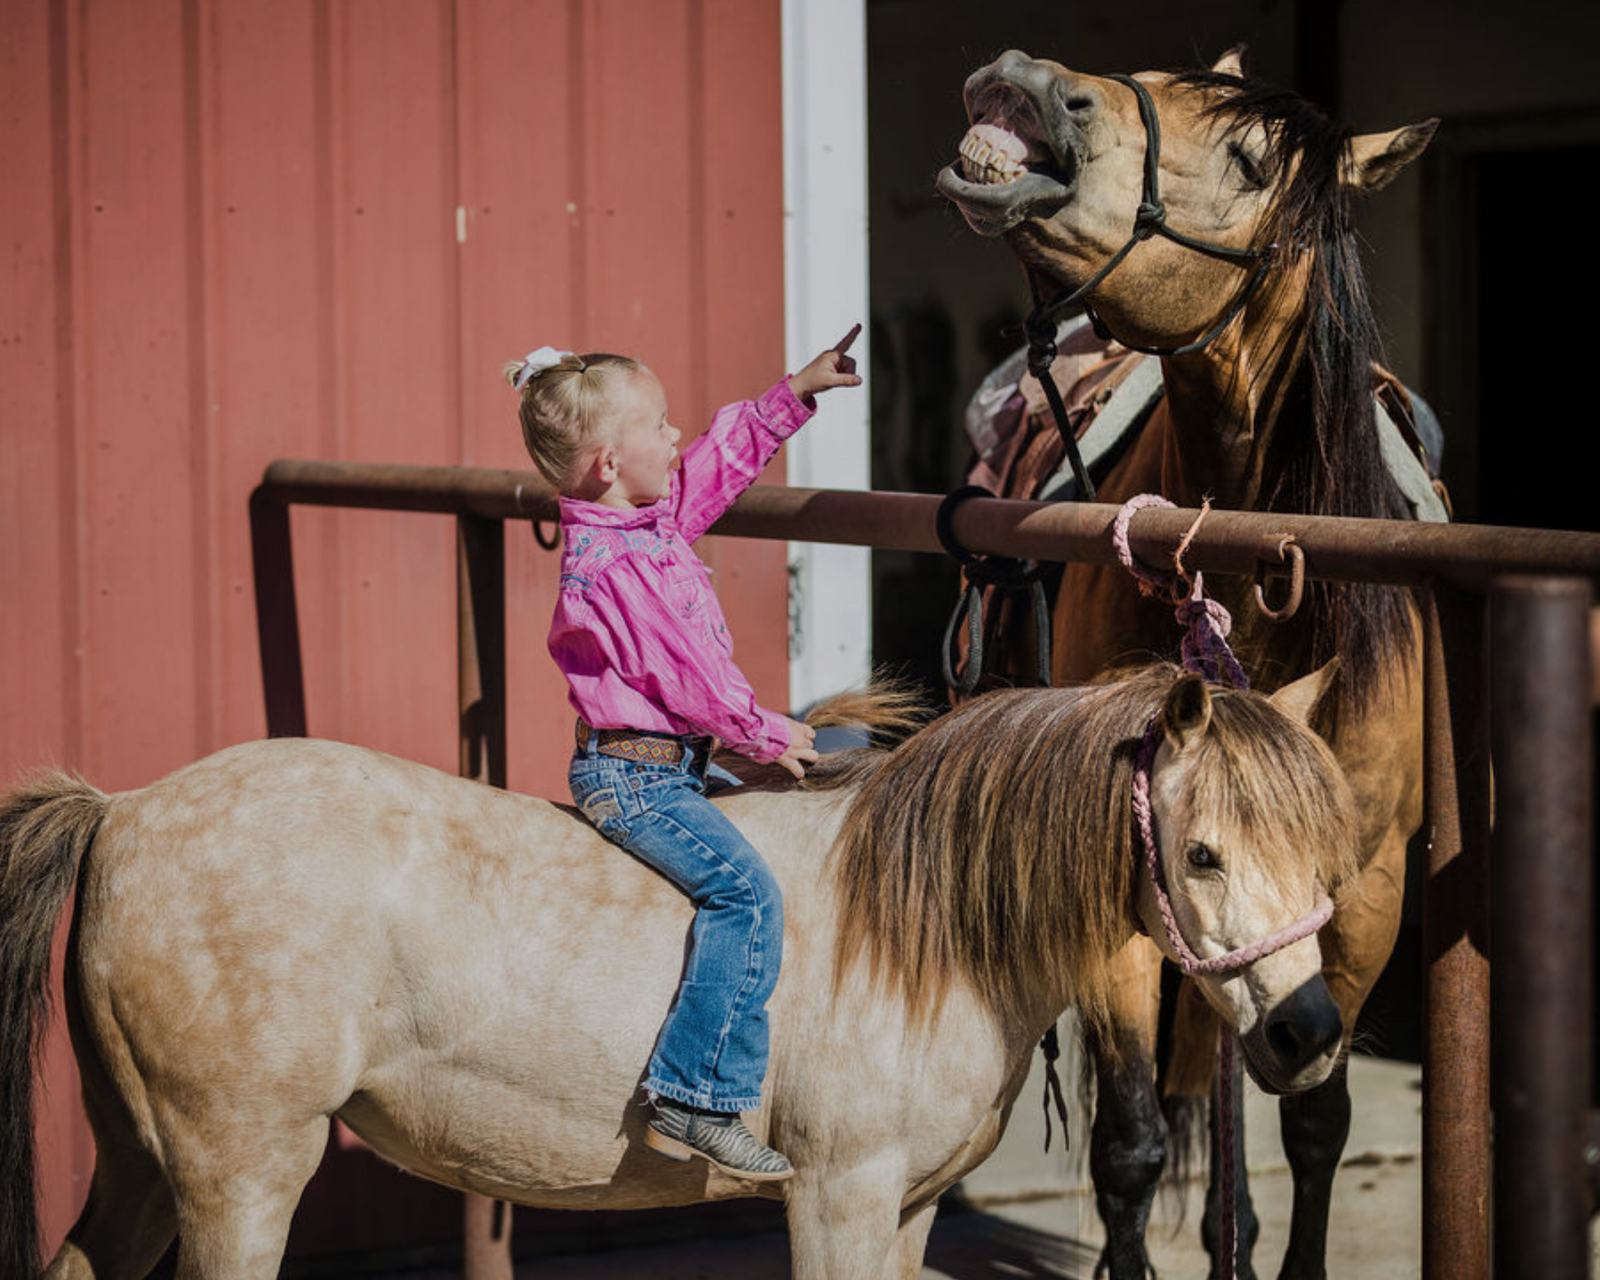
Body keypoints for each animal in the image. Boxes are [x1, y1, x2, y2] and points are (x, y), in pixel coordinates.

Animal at [1, 663, 1357, 1280]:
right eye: (1202, 849)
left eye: (1323, 847)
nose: (1307, 1032)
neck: (924, 933)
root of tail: (121, 812)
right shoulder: (837, 1194)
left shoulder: (909, 1206)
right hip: (238, 1172)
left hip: (145, 1160)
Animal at [938, 47, 1438, 1280]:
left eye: (1252, 158)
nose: (1027, 76)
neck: (1249, 575)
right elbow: (1129, 1141)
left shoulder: (1363, 892)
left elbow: (1313, 1114)